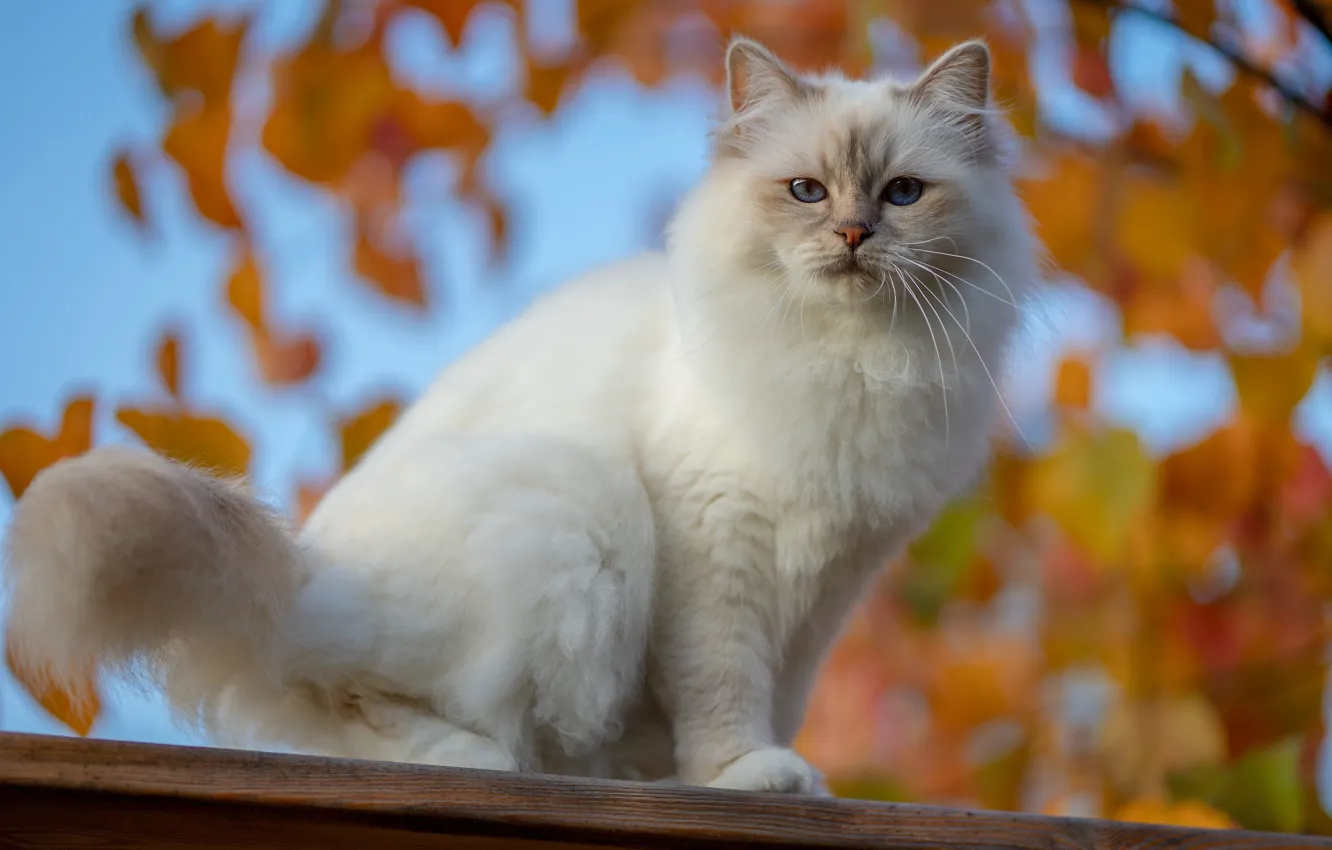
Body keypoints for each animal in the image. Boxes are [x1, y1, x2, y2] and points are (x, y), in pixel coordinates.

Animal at [2, 31, 1038, 794]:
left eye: (903, 193)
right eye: (806, 192)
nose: (855, 234)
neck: (852, 363)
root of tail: (305, 574)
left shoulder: (830, 586)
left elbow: (780, 695)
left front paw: (769, 775)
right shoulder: (718, 548)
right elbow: (725, 683)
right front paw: (742, 775)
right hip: (573, 512)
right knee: (355, 704)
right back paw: (484, 761)